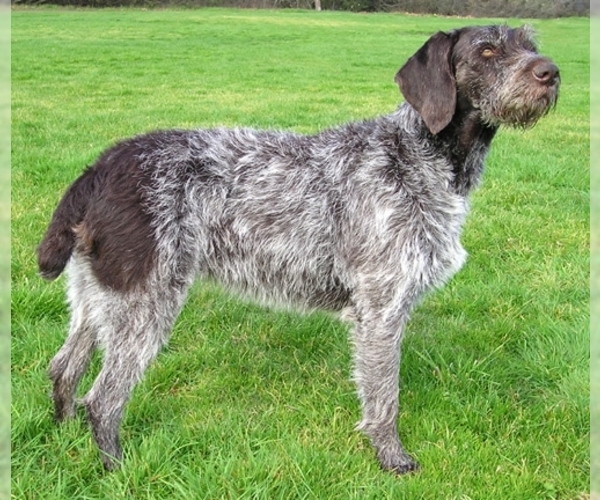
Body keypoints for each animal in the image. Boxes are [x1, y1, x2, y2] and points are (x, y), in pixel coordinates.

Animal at [37, 25, 560, 472]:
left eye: (529, 44)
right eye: (487, 51)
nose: (550, 71)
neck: (419, 155)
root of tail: (102, 166)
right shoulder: (381, 309)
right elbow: (384, 397)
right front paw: (391, 459)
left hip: (98, 295)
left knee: (63, 369)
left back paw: (62, 438)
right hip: (145, 301)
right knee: (102, 399)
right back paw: (115, 468)